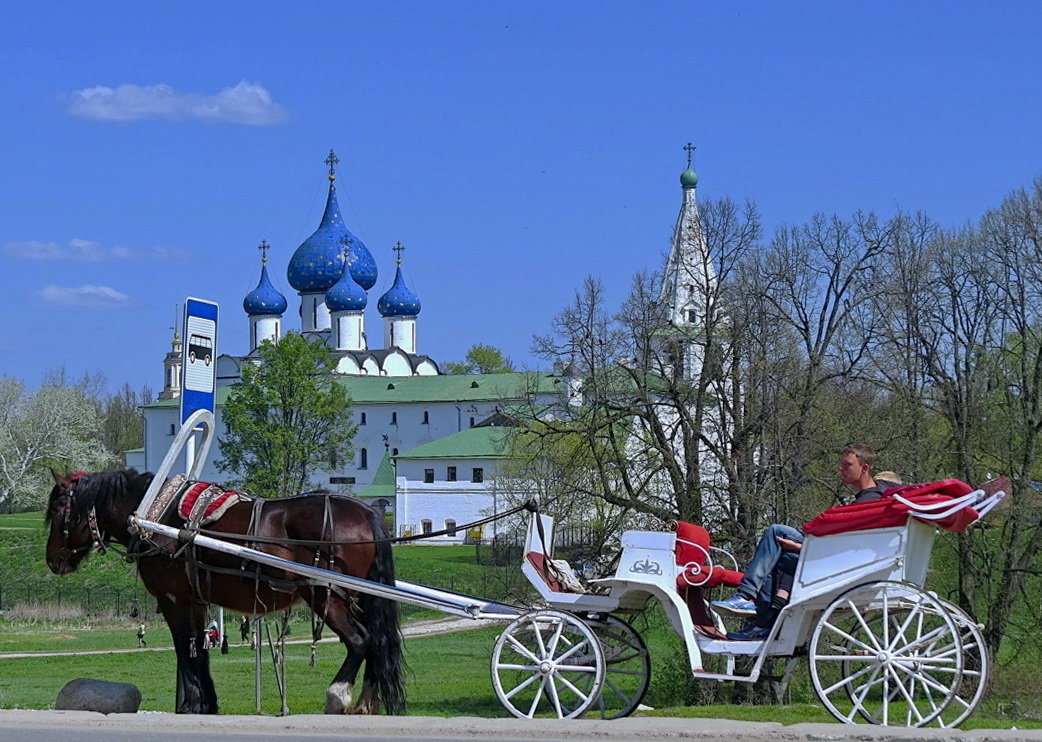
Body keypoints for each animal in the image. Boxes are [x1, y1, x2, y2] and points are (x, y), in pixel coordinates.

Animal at [44, 468, 404, 712]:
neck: (156, 517)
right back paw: (365, 704)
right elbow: (199, 652)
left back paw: (339, 696)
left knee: (360, 640)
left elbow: (186, 652)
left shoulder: (174, 601)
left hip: (325, 594)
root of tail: (366, 511)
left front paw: (192, 705)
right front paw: (206, 704)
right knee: (377, 642)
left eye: (60, 511)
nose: (52, 560)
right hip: (357, 597)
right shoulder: (195, 601)